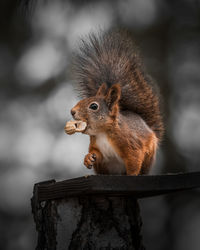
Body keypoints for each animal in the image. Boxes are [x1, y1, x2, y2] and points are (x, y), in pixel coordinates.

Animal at [66, 29, 163, 176]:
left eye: (93, 106)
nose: (72, 111)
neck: (102, 132)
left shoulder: (132, 145)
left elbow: (134, 161)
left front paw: (132, 175)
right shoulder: (96, 145)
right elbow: (96, 154)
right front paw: (88, 158)